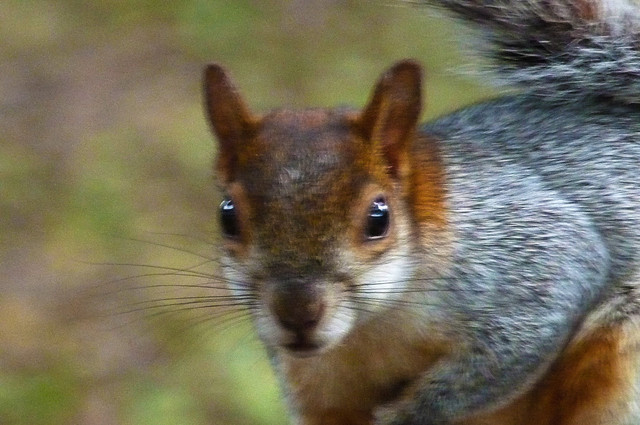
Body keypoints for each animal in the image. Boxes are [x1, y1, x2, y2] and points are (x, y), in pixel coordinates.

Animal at [202, 1, 640, 424]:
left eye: (378, 218)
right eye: (227, 216)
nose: (297, 314)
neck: (370, 329)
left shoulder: (528, 251)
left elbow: (502, 356)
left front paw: (405, 414)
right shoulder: (317, 392)